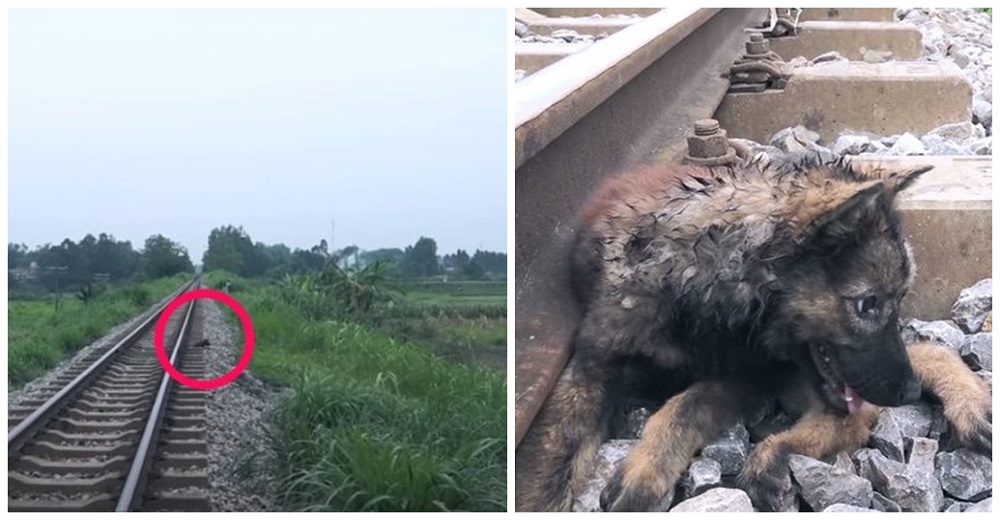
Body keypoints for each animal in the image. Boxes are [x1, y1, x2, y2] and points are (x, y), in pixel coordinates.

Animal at [516, 150, 992, 512]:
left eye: (899, 298)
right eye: (868, 304)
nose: (909, 392)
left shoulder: (742, 373)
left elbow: (684, 406)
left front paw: (644, 470)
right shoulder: (593, 365)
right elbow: (553, 458)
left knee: (866, 413)